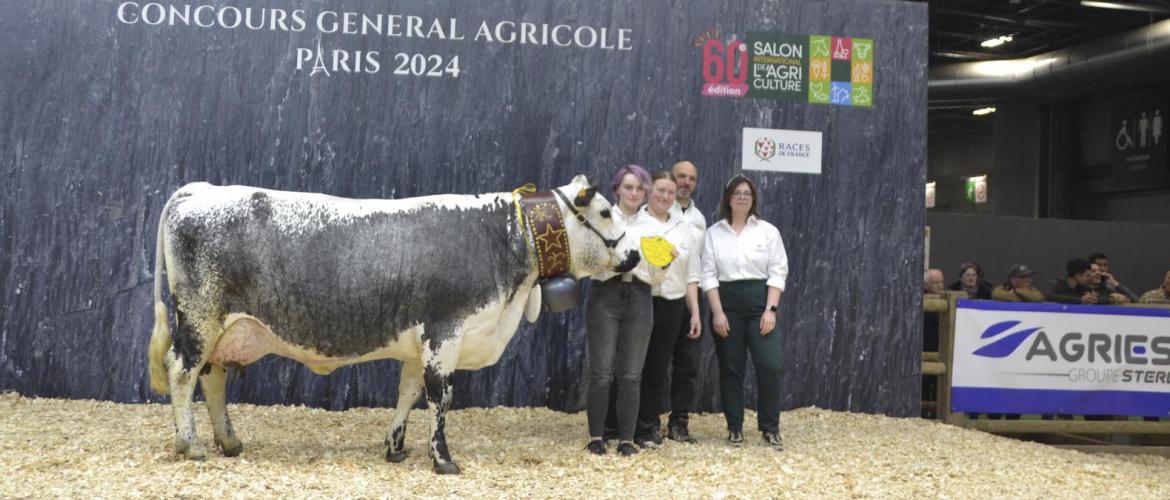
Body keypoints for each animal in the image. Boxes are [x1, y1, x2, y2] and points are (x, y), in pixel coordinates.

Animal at [148, 175, 641, 473]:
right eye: (605, 212)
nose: (635, 255)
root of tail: (200, 189)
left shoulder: (419, 342)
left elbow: (409, 392)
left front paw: (396, 446)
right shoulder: (444, 332)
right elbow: (441, 397)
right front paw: (443, 459)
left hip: (225, 329)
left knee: (213, 378)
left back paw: (229, 442)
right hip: (200, 318)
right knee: (182, 372)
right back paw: (190, 444)